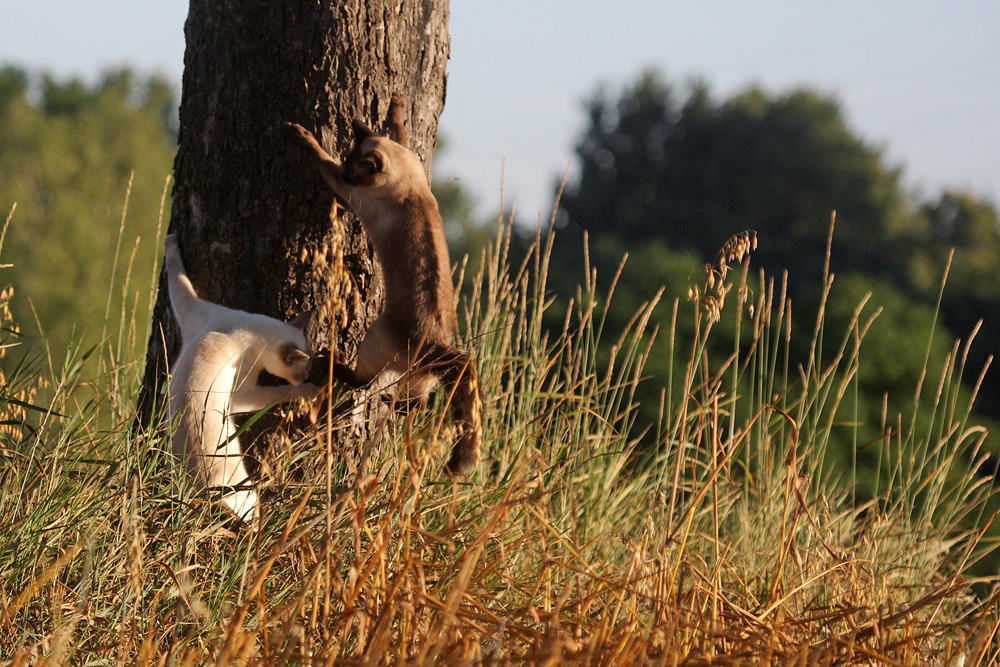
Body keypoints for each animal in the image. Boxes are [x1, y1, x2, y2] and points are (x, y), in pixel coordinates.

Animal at [164, 235, 318, 528]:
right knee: (253, 519)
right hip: (246, 491)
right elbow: (278, 393)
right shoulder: (242, 394)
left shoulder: (193, 311)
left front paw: (170, 243)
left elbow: (177, 275)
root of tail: (205, 493)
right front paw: (311, 391)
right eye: (302, 373)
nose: (306, 377)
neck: (247, 327)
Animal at [284, 94, 482, 478]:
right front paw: (396, 106)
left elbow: (320, 157)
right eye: (349, 162)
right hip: (422, 377)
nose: (348, 173)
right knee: (414, 403)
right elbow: (398, 127)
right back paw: (395, 402)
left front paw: (300, 134)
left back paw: (329, 361)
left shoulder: (347, 191)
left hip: (372, 338)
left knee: (361, 382)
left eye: (353, 170)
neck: (411, 185)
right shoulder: (402, 150)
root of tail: (437, 346)